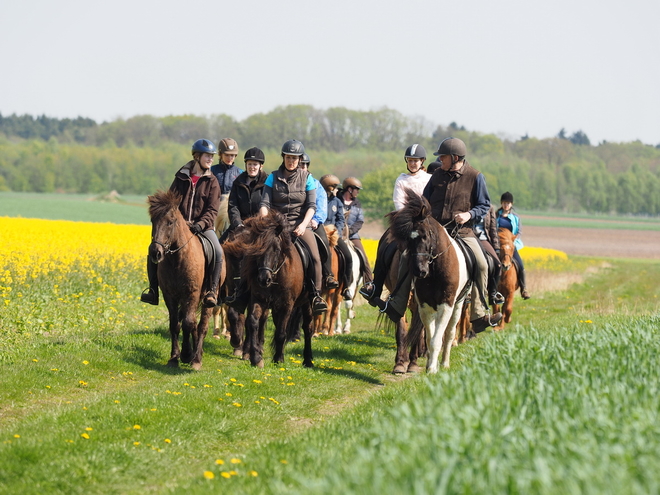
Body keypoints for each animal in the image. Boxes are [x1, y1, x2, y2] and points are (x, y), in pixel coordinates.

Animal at [146, 192, 224, 370]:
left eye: (170, 222)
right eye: (153, 220)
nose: (155, 252)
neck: (177, 259)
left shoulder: (192, 293)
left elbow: (189, 323)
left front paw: (190, 356)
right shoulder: (170, 295)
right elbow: (175, 324)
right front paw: (175, 357)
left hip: (207, 297)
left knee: (201, 325)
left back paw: (197, 356)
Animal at [220, 212, 316, 368]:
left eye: (276, 249)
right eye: (256, 251)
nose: (263, 279)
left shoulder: (286, 305)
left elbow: (281, 332)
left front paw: (278, 359)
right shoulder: (258, 299)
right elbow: (250, 321)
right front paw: (254, 356)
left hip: (307, 302)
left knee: (307, 327)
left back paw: (308, 360)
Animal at [394, 192, 472, 374]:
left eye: (425, 235)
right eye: (408, 240)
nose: (419, 271)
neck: (436, 271)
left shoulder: (446, 305)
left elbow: (438, 338)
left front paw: (432, 369)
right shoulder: (425, 306)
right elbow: (430, 338)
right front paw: (430, 365)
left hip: (458, 305)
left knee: (449, 333)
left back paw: (444, 363)